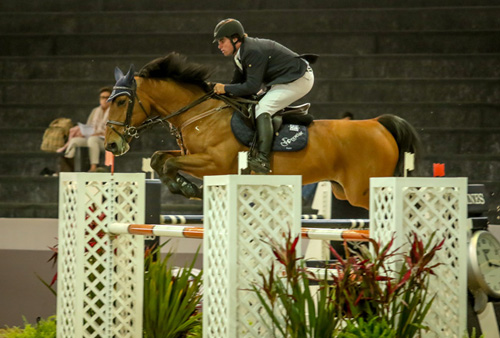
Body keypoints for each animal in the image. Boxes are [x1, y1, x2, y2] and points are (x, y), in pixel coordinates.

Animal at [104, 52, 422, 209]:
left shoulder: (215, 164)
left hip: (362, 191)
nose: (110, 145)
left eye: (121, 101)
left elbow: (169, 162)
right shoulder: (191, 154)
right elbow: (160, 158)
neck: (200, 114)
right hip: (343, 191)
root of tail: (378, 124)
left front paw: (188, 188)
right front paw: (183, 187)